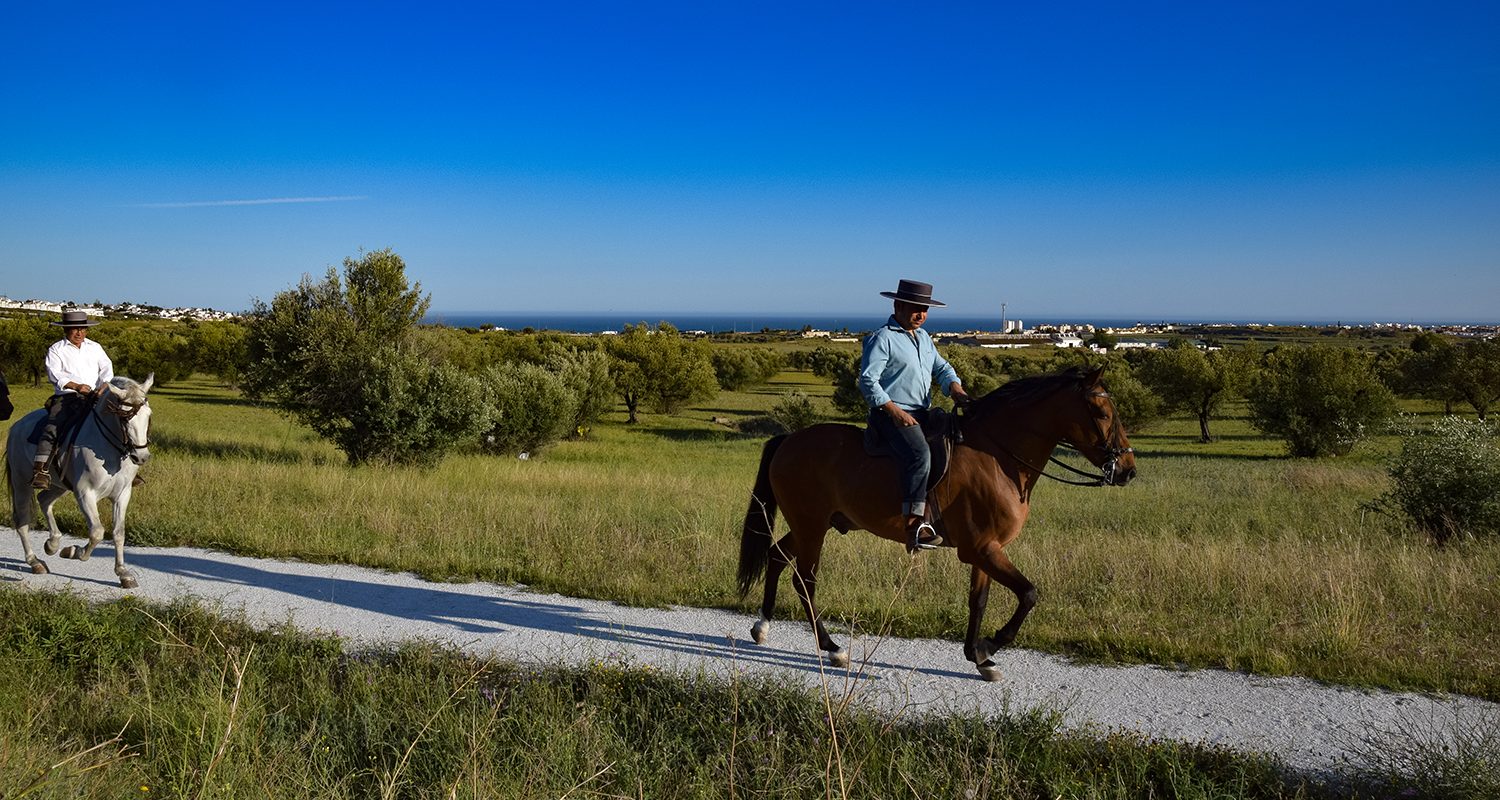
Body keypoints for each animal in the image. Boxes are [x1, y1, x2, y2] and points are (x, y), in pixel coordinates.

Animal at [7, 373, 155, 585]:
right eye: (124, 418)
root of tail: (16, 426)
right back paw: (35, 562)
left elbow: (119, 533)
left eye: (148, 415)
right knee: (22, 521)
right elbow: (97, 532)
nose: (141, 457)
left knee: (44, 500)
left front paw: (123, 573)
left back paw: (52, 543)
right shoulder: (85, 493)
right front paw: (73, 551)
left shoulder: (122, 495)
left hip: (59, 485)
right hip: (21, 484)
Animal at [738, 364, 1134, 675]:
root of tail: (790, 439)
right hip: (812, 527)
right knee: (804, 580)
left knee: (776, 557)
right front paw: (990, 645)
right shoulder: (982, 549)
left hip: (810, 525)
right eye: (1101, 413)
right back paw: (833, 648)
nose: (1127, 470)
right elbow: (1029, 594)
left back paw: (762, 625)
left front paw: (978, 657)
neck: (997, 457)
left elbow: (979, 601)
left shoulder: (985, 549)